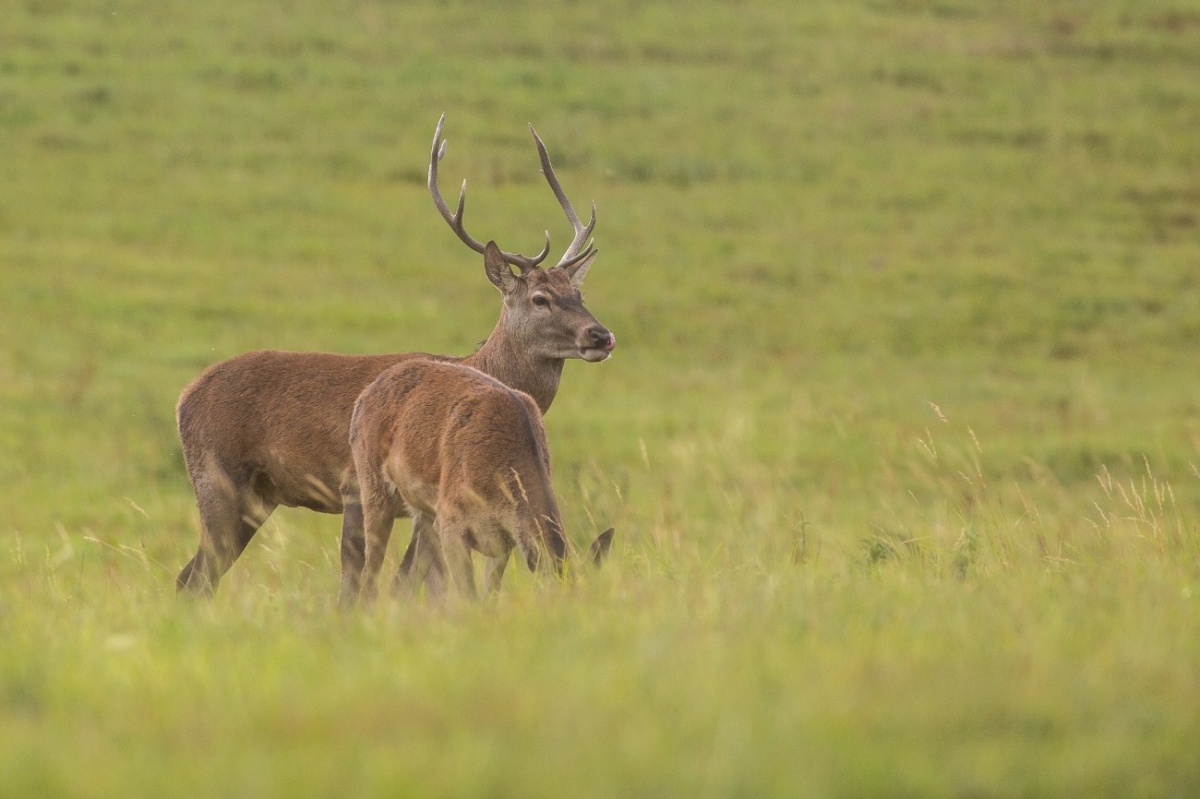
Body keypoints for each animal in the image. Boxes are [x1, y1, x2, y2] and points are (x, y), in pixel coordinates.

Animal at [350, 356, 614, 602]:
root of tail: (362, 397)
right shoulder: (450, 520)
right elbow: (469, 594)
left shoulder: (503, 540)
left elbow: (490, 595)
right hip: (371, 481)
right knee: (369, 573)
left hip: (423, 510)